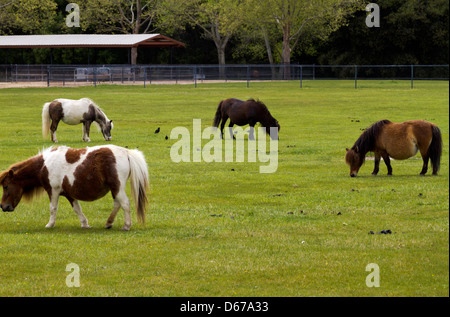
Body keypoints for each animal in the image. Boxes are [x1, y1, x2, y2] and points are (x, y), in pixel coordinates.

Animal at [0, 144, 150, 230]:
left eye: (6, 186)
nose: (3, 206)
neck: (44, 165)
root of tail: (126, 152)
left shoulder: (53, 191)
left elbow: (53, 208)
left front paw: (50, 224)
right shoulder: (69, 194)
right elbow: (77, 209)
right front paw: (85, 224)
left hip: (117, 187)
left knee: (125, 204)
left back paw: (126, 225)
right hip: (115, 189)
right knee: (117, 204)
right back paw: (109, 222)